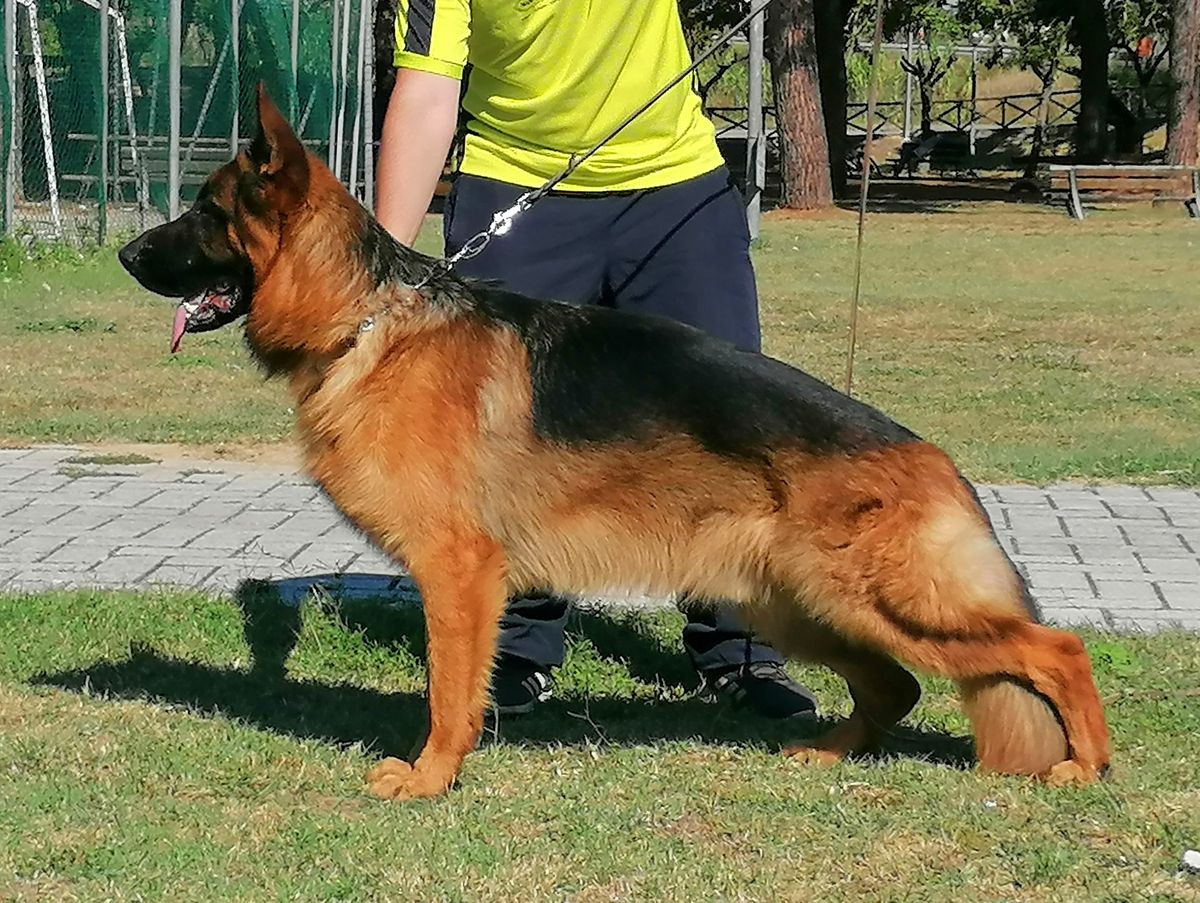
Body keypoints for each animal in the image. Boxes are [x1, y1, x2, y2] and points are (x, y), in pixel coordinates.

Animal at [117, 90, 1108, 797]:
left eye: (204, 213)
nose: (125, 256)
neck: (365, 319)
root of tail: (932, 457)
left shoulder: (458, 571)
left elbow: (447, 690)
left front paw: (431, 777)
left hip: (876, 599)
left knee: (1054, 647)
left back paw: (1085, 766)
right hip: (797, 603)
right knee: (898, 686)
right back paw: (829, 752)